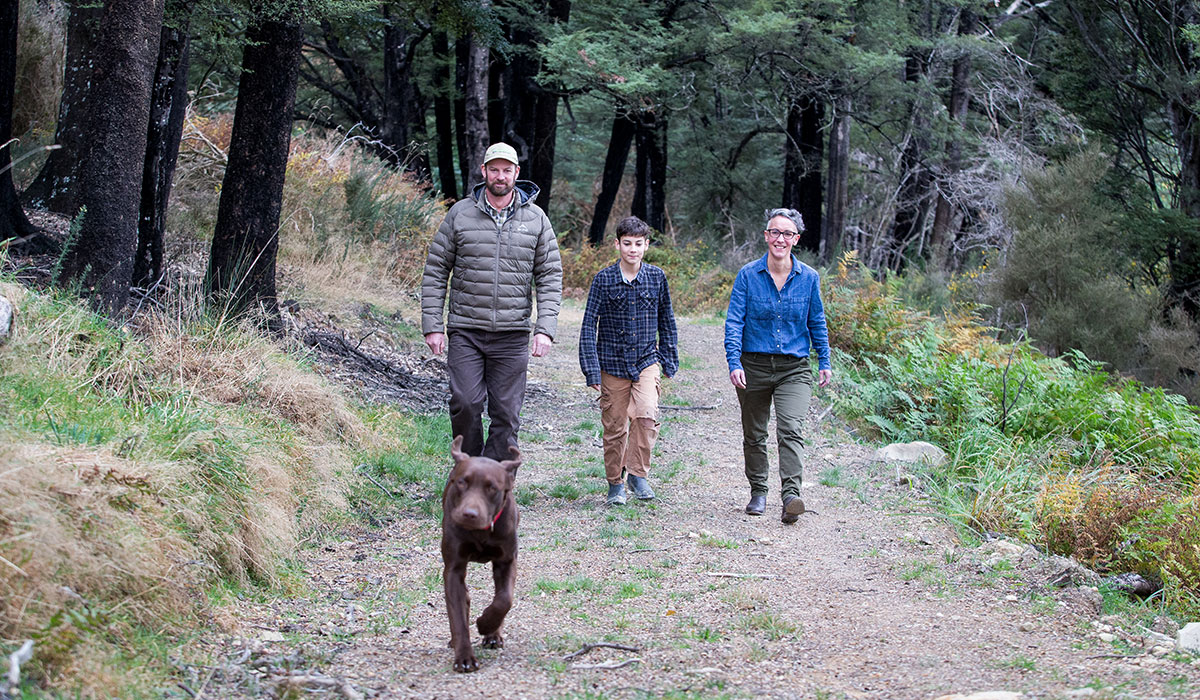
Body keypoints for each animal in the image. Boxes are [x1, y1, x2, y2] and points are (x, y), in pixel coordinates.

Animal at [439, 434, 518, 672]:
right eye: (462, 482)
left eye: (492, 487)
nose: (469, 514)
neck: (481, 532)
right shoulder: (454, 568)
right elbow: (457, 617)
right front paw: (464, 658)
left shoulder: (506, 561)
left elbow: (504, 599)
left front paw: (485, 624)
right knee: (463, 600)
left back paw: (493, 636)